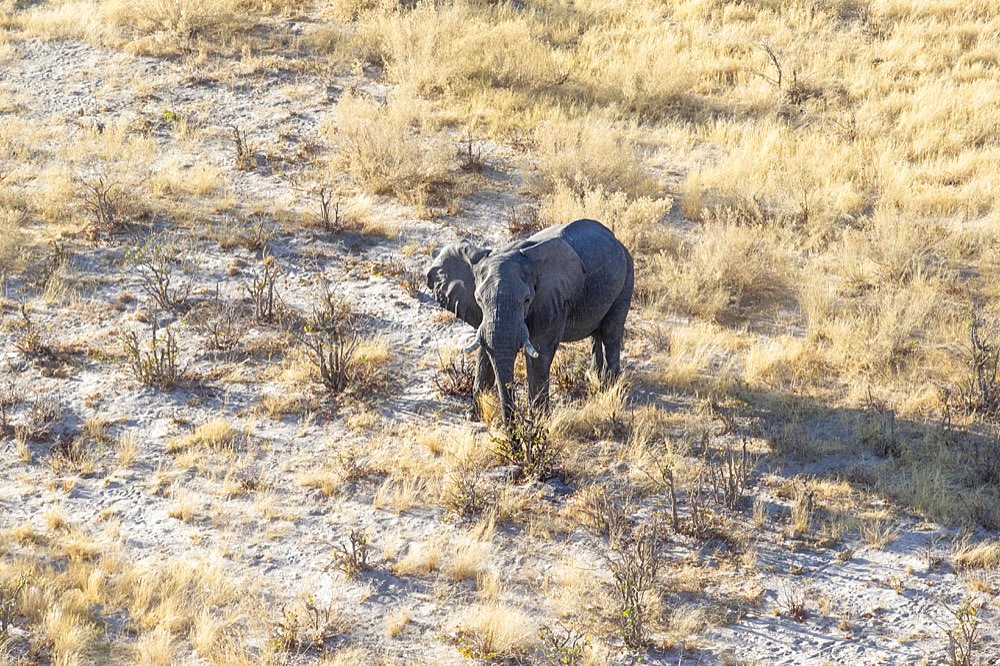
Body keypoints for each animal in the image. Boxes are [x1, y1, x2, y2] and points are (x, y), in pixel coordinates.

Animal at [428, 217, 632, 420]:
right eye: (478, 299)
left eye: (527, 300)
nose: (513, 422)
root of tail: (616, 240)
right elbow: (485, 351)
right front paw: (473, 416)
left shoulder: (552, 301)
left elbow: (540, 354)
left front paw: (539, 420)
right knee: (597, 334)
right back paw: (593, 377)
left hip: (627, 277)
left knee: (610, 333)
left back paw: (608, 388)